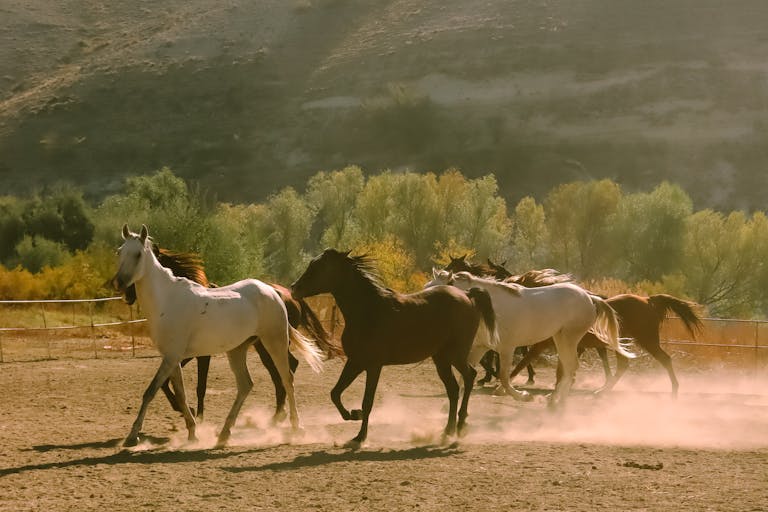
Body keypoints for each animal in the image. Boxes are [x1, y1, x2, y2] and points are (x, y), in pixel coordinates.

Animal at [109, 226, 322, 446]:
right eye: (119, 252)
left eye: (138, 254)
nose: (119, 283)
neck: (167, 300)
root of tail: (273, 292)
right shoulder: (173, 358)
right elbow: (180, 394)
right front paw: (192, 433)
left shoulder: (172, 357)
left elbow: (151, 391)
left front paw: (132, 436)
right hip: (238, 350)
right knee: (246, 384)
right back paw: (224, 434)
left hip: (274, 342)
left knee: (286, 378)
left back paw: (296, 429)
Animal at [290, 250, 498, 446]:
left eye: (320, 267)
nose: (294, 288)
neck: (367, 310)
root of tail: (468, 296)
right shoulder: (355, 362)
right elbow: (335, 393)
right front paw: (353, 414)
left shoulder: (373, 366)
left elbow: (367, 401)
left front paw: (360, 437)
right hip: (442, 359)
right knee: (454, 389)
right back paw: (447, 431)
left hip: (455, 355)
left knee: (469, 377)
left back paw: (461, 426)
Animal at [426, 268, 636, 408]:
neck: (488, 306)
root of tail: (590, 298)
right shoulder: (480, 347)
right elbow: (466, 373)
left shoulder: (506, 348)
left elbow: (504, 378)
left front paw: (524, 396)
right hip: (560, 339)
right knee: (569, 369)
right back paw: (555, 400)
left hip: (569, 339)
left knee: (571, 368)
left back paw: (559, 402)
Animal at [510, 292, 704, 396]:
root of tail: (648, 300)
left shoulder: (545, 346)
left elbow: (522, 363)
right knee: (625, 364)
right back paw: (603, 390)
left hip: (647, 340)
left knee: (664, 359)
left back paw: (674, 391)